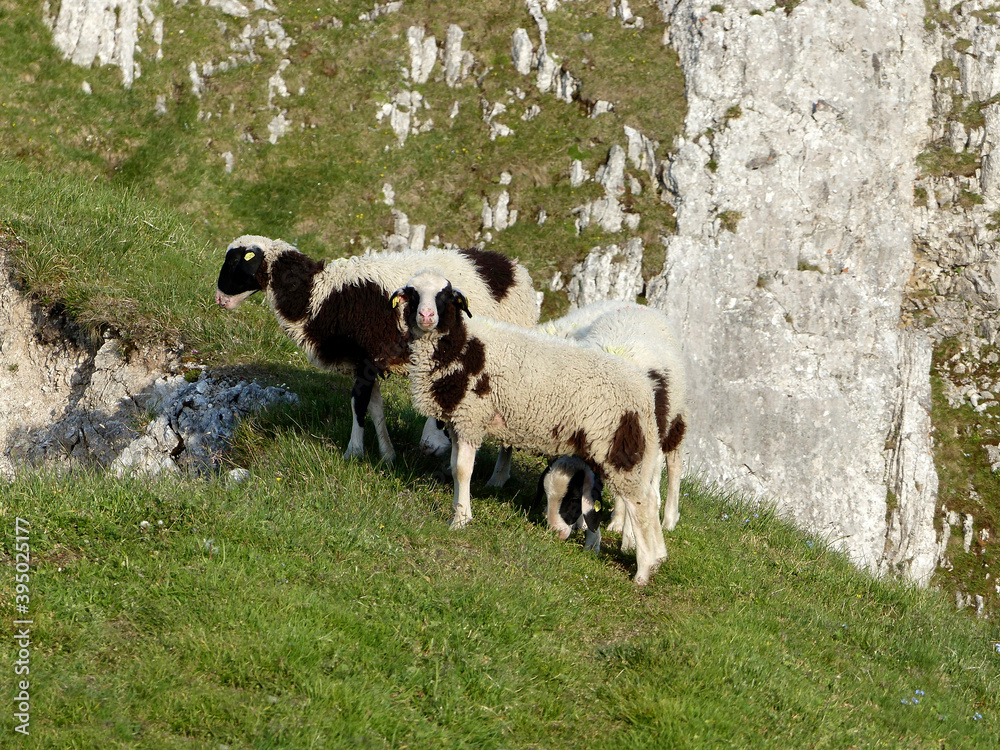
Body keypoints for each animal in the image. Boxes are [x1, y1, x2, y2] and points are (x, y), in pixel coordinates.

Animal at [215, 235, 538, 465]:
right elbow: (375, 408)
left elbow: (358, 406)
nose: (218, 300)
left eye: (235, 263)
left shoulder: (368, 358)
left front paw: (353, 452)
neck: (318, 295)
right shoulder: (364, 362)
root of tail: (513, 268)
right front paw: (387, 455)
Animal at [393, 270, 668, 584]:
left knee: (640, 505)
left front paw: (460, 520)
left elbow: (463, 470)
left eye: (446, 296)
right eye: (413, 294)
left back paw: (644, 571)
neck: (460, 345)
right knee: (648, 500)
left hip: (615, 447)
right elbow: (455, 467)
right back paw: (657, 558)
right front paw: (458, 511)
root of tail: (644, 392)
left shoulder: (471, 417)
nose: (426, 316)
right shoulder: (459, 421)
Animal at [535, 302, 687, 544]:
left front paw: (627, 532)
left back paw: (669, 519)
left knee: (674, 463)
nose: (555, 533)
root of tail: (638, 306)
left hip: (675, 416)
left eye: (572, 498)